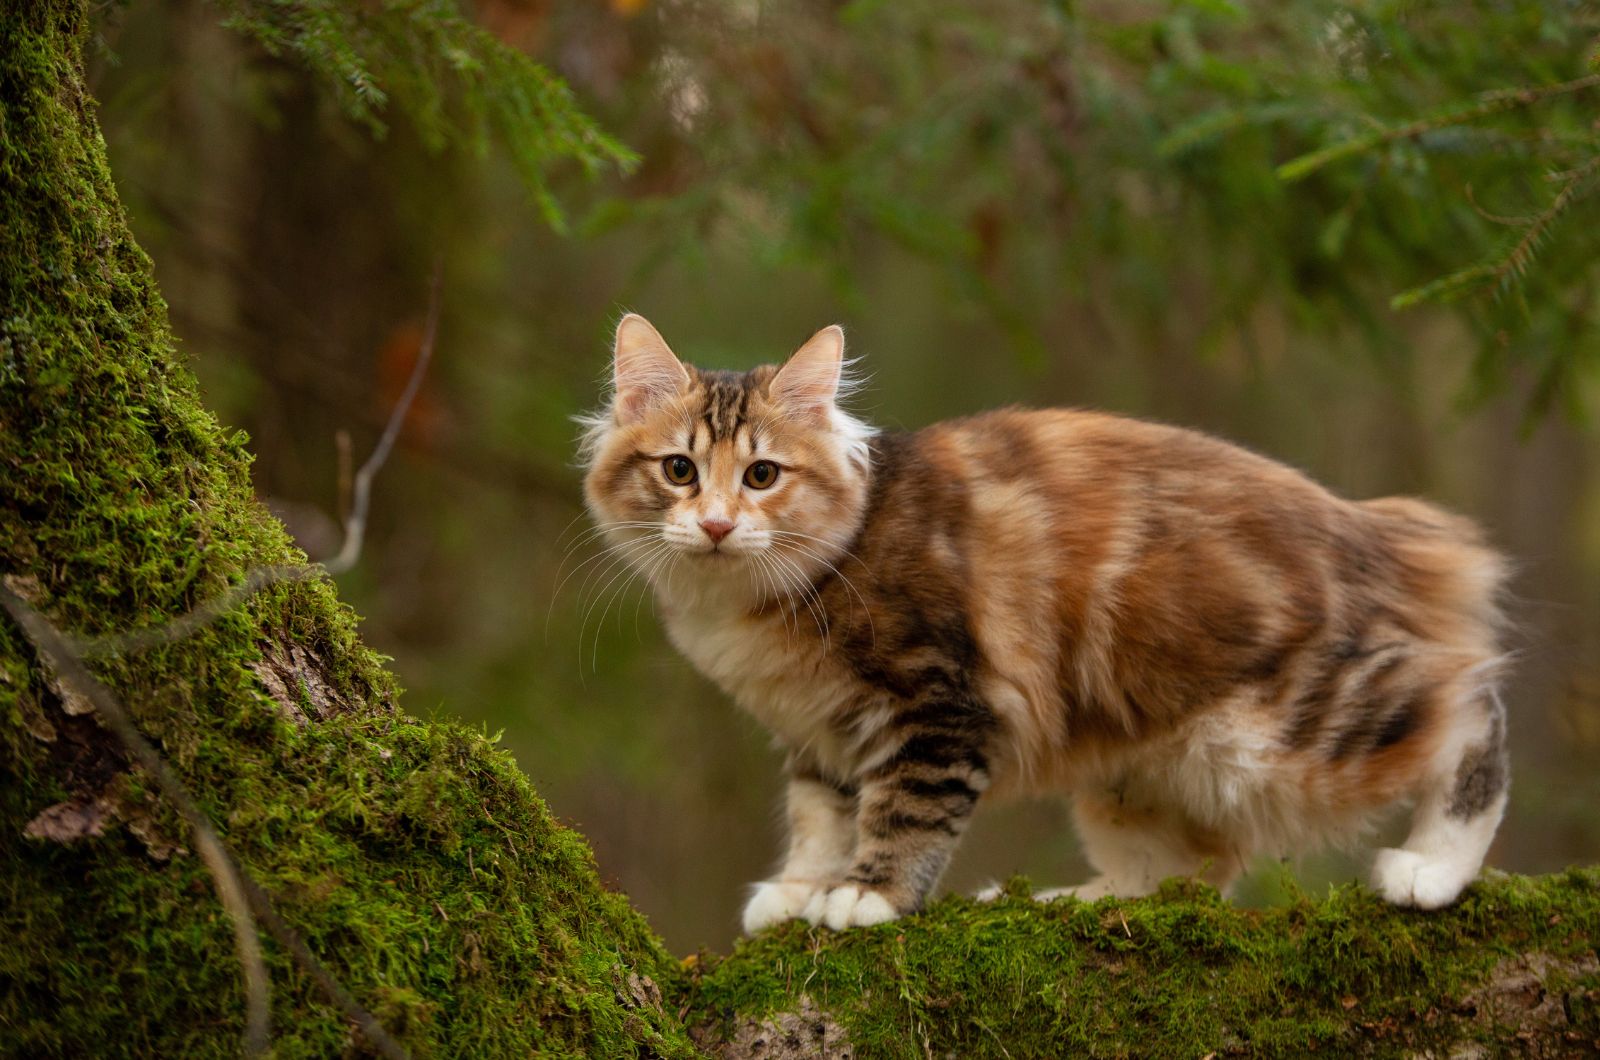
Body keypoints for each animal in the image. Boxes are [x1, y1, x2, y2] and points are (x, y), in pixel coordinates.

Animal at [579, 317, 1510, 941]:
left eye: (763, 476)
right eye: (680, 471)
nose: (717, 525)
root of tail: (1371, 526)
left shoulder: (938, 702)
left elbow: (903, 809)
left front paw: (869, 896)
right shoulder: (820, 731)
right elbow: (819, 816)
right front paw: (801, 889)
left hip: (1283, 731)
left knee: (1471, 708)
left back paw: (1434, 868)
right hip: (1138, 771)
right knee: (1187, 874)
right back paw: (1062, 902)